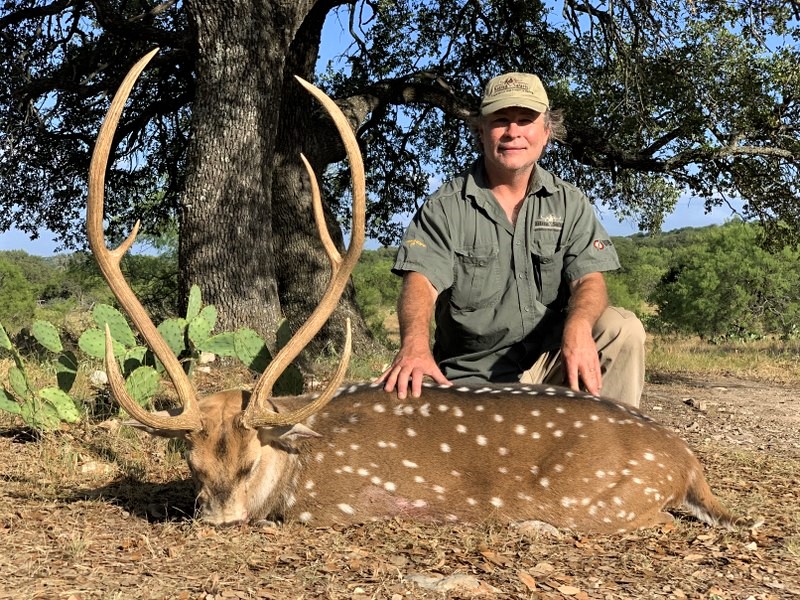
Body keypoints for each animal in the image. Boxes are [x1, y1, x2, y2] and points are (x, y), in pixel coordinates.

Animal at [88, 49, 752, 535]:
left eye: (249, 461)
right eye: (192, 462)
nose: (214, 517)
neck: (294, 466)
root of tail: (689, 462)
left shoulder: (342, 501)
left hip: (606, 499)